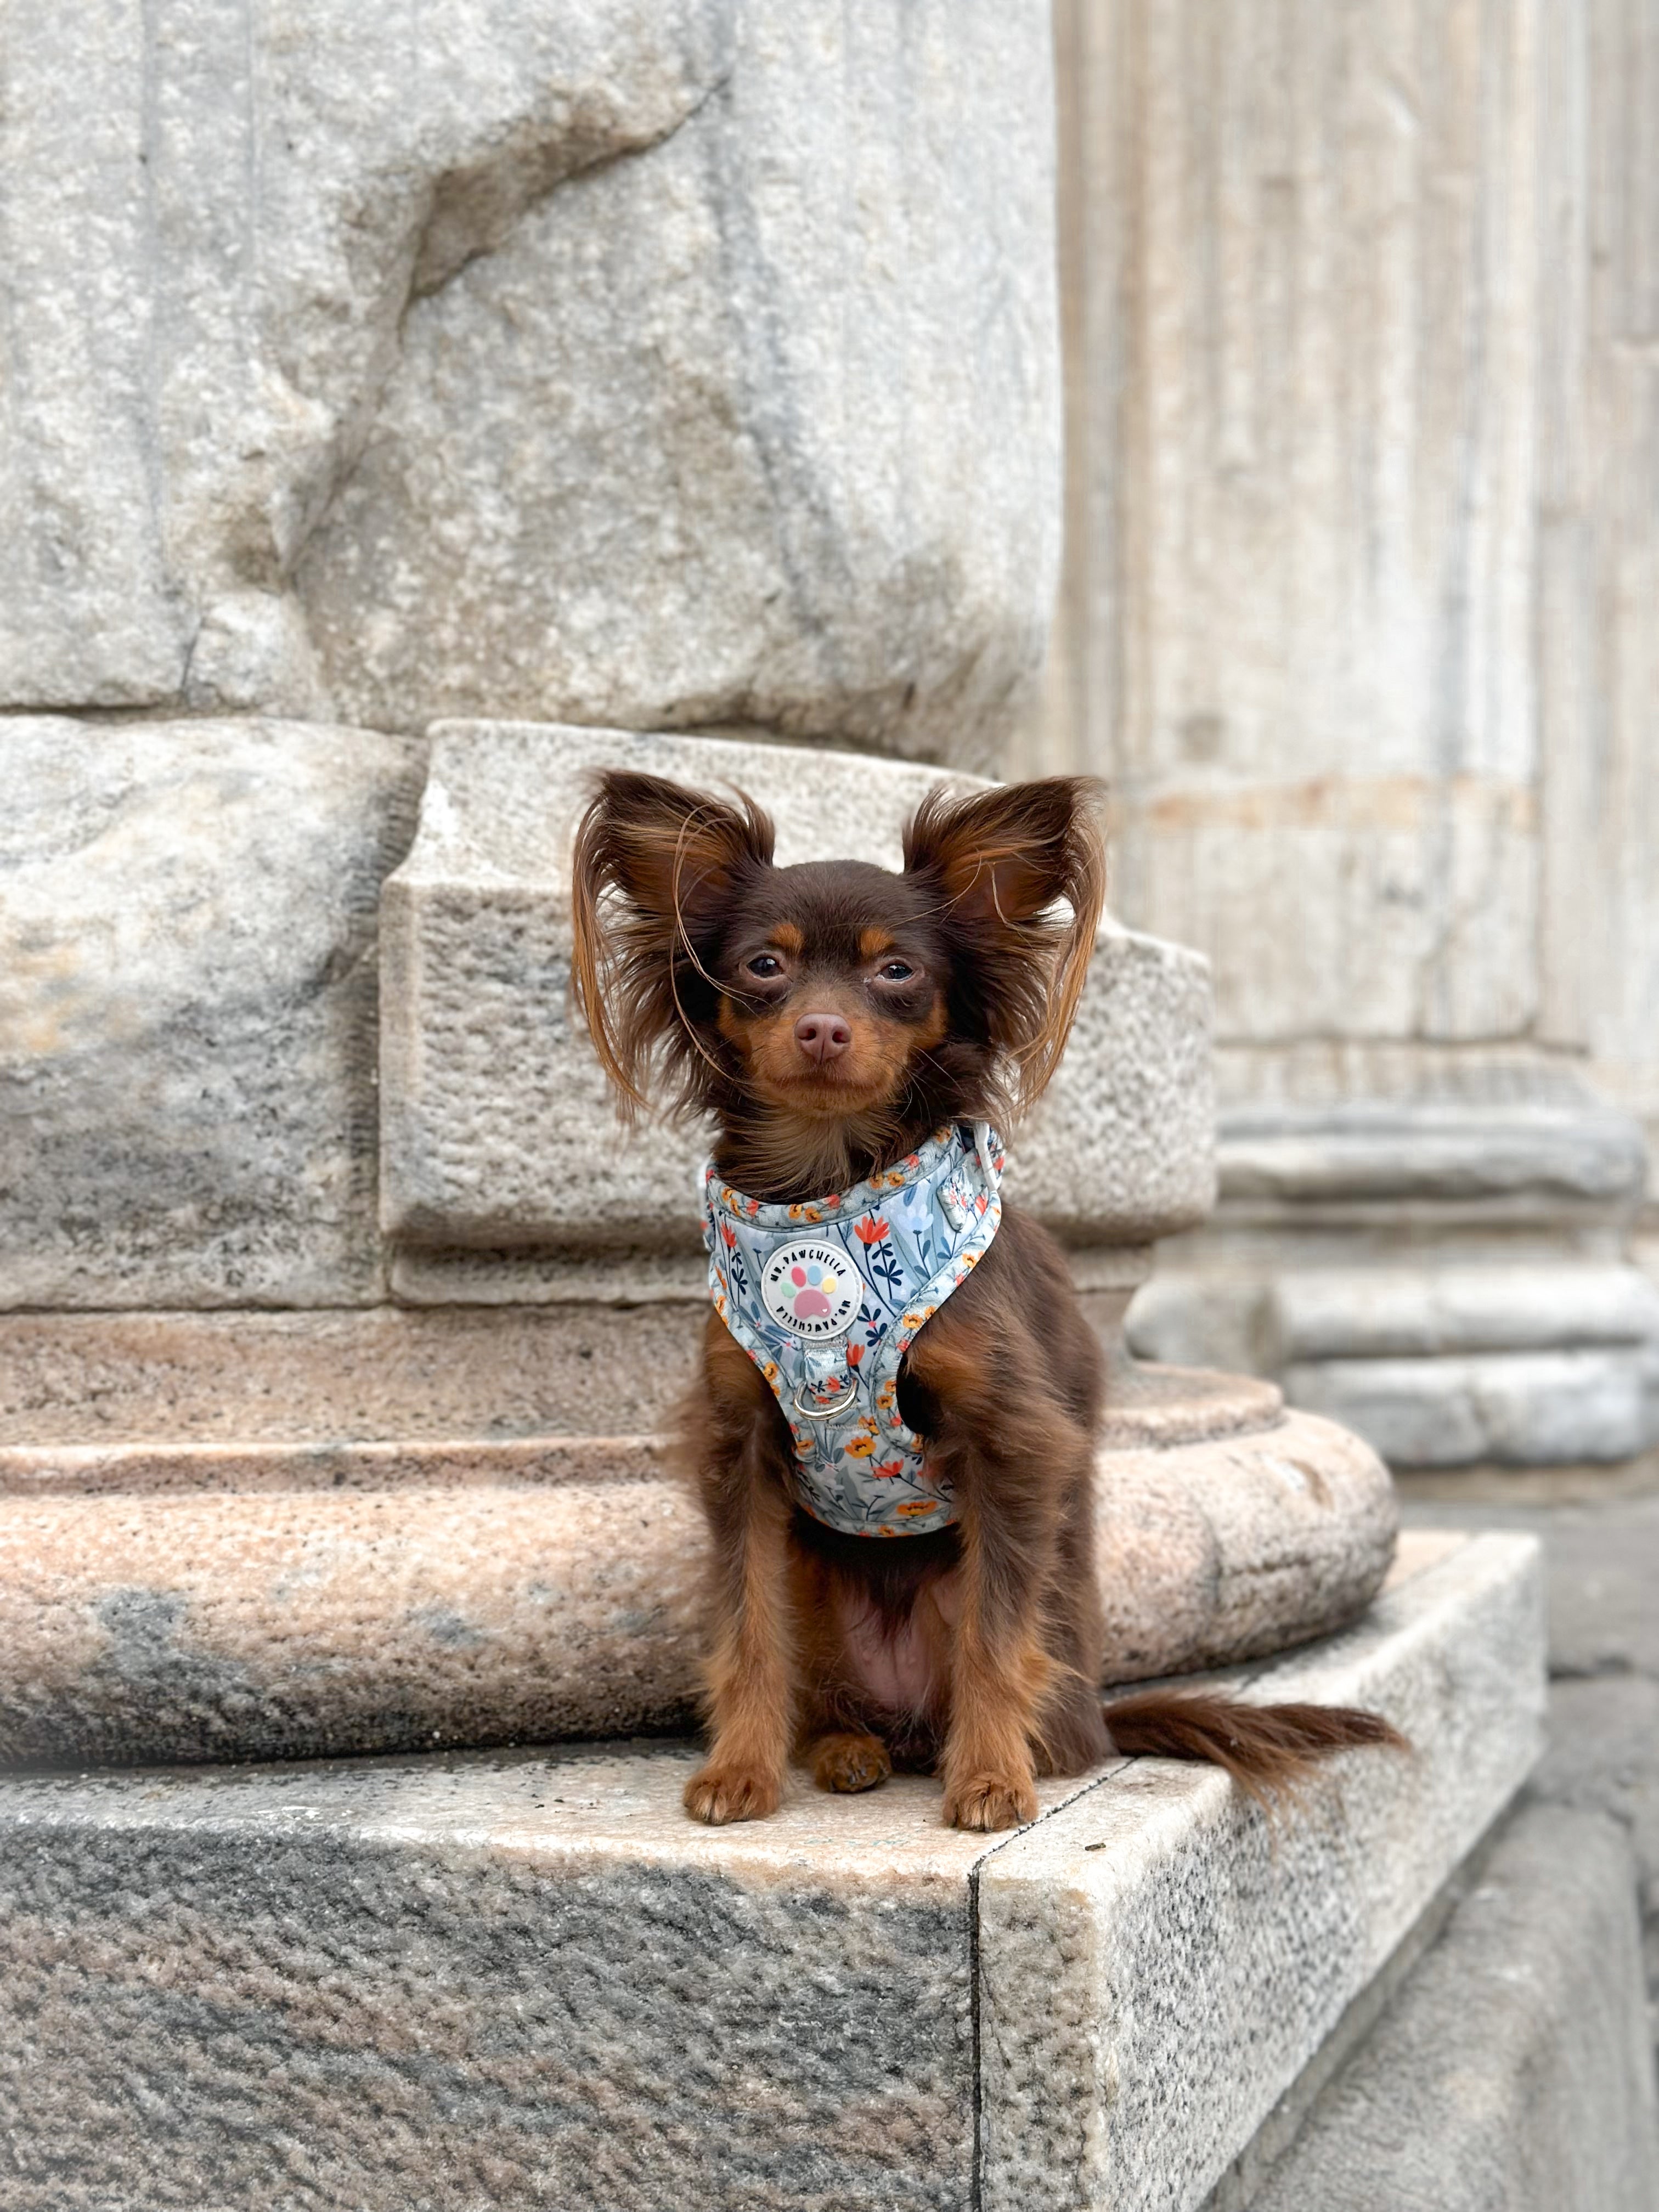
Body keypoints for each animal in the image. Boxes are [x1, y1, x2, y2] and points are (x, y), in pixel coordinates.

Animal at [571, 769, 1401, 1831]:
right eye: (763, 966)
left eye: (896, 972)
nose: (822, 1029)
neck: (830, 1191)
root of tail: (1101, 1717)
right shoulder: (740, 1443)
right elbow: (747, 1621)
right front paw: (740, 1773)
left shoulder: (1013, 1443)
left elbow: (994, 1638)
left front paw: (992, 1781)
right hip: (819, 1580)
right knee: (837, 1693)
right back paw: (845, 1750)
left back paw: (995, 1751)